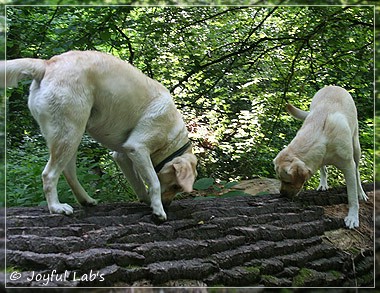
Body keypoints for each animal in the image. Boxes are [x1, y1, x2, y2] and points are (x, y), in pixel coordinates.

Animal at [2, 50, 199, 219]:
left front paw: (148, 200)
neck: (171, 139)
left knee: (68, 171)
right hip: (69, 134)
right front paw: (158, 210)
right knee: (49, 174)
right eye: (176, 185)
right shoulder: (137, 148)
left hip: (71, 136)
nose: (167, 205)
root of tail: (48, 64)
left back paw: (86, 200)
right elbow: (155, 182)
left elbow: (138, 183)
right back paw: (57, 207)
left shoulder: (123, 155)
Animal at [274, 85, 366, 228]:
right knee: (324, 169)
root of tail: (333, 86)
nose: (282, 195)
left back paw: (361, 192)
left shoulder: (348, 165)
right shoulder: (319, 156)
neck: (321, 135)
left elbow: (352, 196)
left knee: (357, 172)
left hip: (356, 145)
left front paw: (352, 217)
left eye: (287, 181)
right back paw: (323, 184)